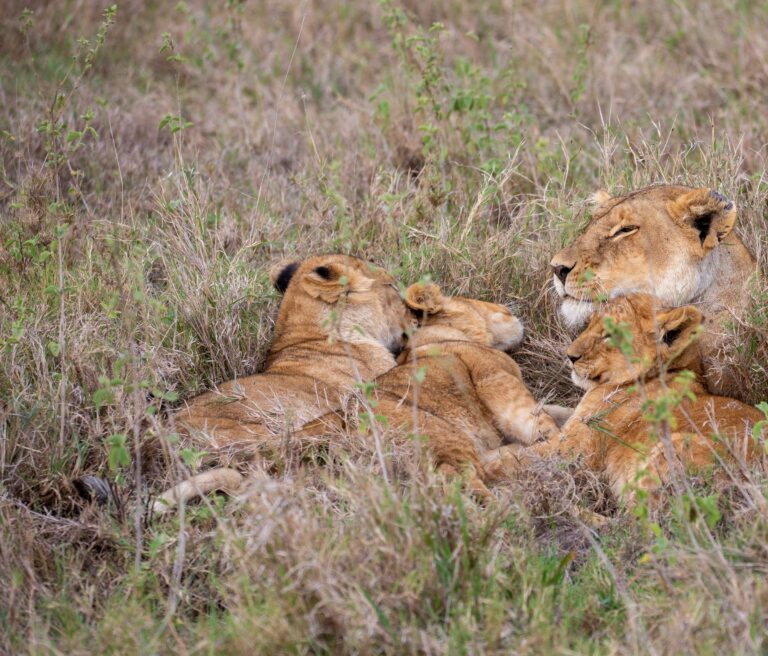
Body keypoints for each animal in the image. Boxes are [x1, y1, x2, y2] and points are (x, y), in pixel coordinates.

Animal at [153, 283, 562, 510]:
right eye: (480, 302)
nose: (509, 309)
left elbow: (561, 409)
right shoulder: (499, 386)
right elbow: (544, 424)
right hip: (445, 438)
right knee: (467, 487)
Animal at [483, 294, 766, 503]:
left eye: (609, 334)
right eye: (589, 323)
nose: (569, 356)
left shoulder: (573, 450)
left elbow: (516, 460)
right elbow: (545, 418)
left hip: (668, 452)